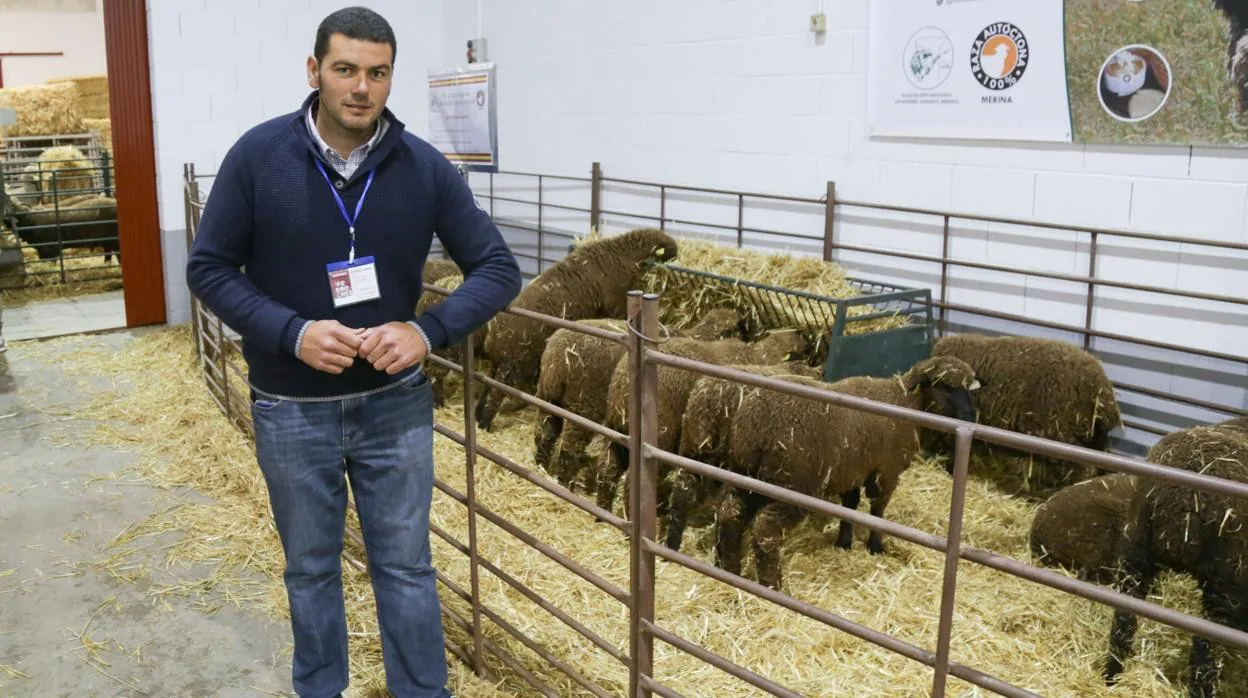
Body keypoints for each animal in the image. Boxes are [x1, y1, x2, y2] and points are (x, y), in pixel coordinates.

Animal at [471, 229, 678, 434]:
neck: (622, 251)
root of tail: (494, 332)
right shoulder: (615, 304)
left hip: (499, 361)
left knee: (488, 388)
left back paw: (479, 417)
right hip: (513, 363)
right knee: (496, 393)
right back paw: (485, 424)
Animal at [534, 308, 743, 494]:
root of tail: (556, 357)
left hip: (549, 397)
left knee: (544, 435)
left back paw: (541, 467)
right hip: (582, 404)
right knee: (569, 447)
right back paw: (563, 482)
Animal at [591, 329, 813, 519]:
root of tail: (623, 387)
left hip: (617, 429)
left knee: (607, 467)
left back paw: (603, 513)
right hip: (660, 438)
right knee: (632, 481)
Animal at [708, 357, 978, 591]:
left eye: (968, 387)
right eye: (943, 385)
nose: (971, 416)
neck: (906, 402)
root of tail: (755, 426)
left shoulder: (853, 469)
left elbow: (851, 505)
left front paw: (844, 542)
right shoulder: (886, 471)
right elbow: (878, 510)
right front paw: (875, 546)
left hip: (745, 474)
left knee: (729, 515)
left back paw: (728, 569)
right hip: (792, 485)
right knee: (766, 532)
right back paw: (772, 585)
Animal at [1103, 424, 1248, 698]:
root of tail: (1182, 500)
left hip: (1136, 546)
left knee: (1123, 619)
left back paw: (1111, 676)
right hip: (1226, 578)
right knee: (1206, 652)